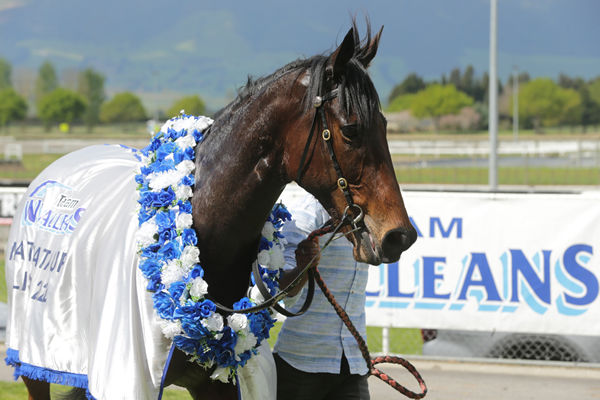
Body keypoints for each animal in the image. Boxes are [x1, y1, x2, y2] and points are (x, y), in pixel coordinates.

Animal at [14, 19, 418, 400]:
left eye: (385, 124)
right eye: (351, 129)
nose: (400, 235)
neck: (204, 225)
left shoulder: (221, 382)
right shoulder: (126, 379)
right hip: (34, 362)